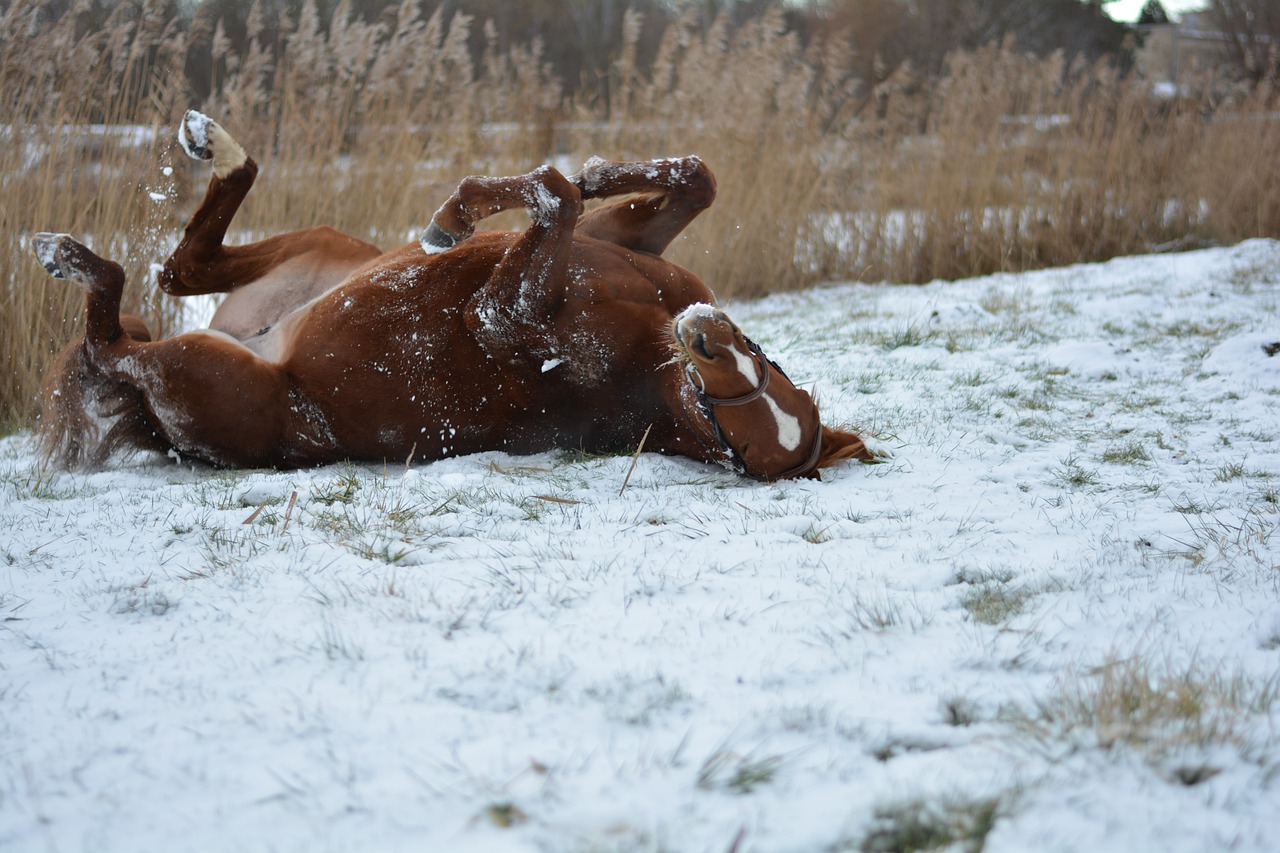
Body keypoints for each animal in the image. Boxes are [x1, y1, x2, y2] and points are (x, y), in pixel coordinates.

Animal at [34, 110, 876, 481]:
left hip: (210, 375)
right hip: (324, 248)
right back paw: (216, 145)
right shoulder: (626, 246)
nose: (704, 332)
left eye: (738, 447)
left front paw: (458, 212)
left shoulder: (496, 319)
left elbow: (552, 197)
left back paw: (70, 256)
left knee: (118, 326)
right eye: (765, 359)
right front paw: (589, 171)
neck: (646, 353)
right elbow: (676, 178)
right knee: (185, 268)